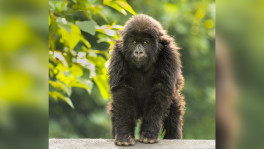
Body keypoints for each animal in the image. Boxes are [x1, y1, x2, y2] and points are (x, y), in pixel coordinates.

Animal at [107, 14, 186, 146]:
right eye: (134, 42)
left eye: (145, 42)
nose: (138, 51)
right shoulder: (117, 54)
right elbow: (122, 92)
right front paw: (124, 135)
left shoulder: (169, 53)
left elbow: (161, 90)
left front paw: (149, 133)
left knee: (174, 113)